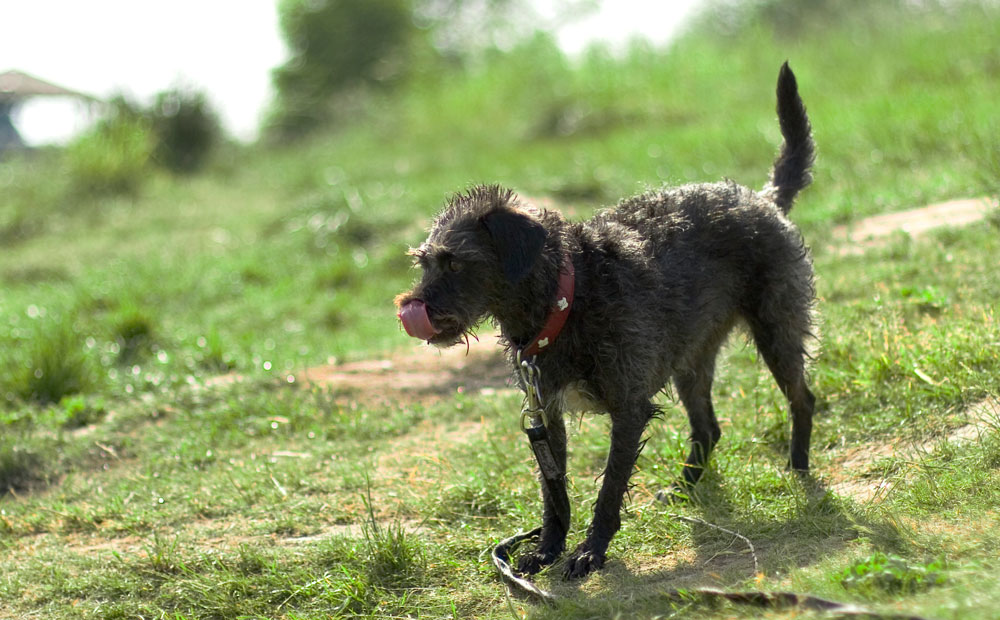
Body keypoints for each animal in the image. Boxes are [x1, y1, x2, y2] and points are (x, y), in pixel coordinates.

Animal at [394, 61, 816, 576]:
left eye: (455, 263)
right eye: (424, 263)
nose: (412, 308)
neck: (568, 298)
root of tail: (762, 199)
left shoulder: (628, 408)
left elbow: (610, 484)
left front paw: (591, 550)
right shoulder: (546, 412)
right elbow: (553, 490)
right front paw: (547, 549)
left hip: (777, 330)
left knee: (803, 399)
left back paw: (798, 468)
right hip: (690, 360)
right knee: (708, 428)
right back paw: (685, 488)